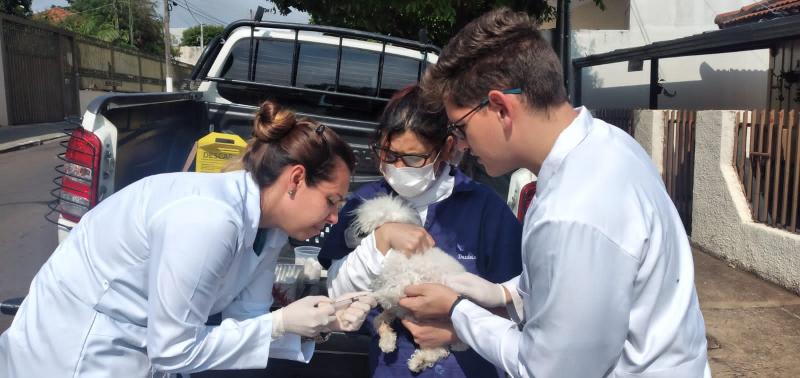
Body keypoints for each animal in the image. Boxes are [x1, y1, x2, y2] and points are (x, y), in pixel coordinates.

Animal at [352, 195, 468, 372]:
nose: (359, 233)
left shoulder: (402, 286)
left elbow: (382, 295)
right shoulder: (395, 307)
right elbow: (379, 319)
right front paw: (387, 342)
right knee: (438, 350)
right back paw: (418, 362)